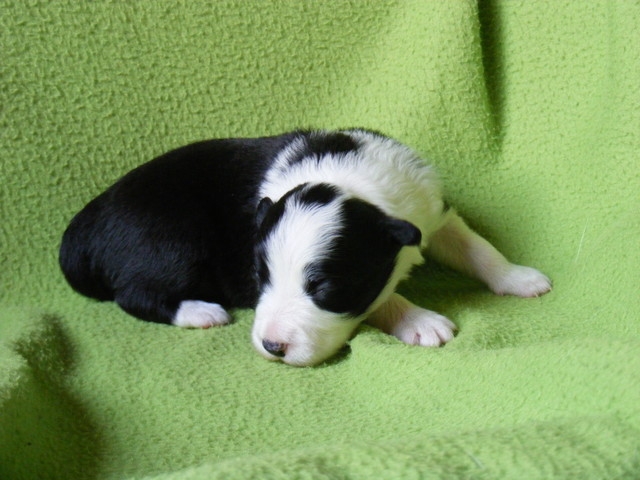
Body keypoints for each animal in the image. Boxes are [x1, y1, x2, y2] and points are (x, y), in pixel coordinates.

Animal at [59, 129, 551, 366]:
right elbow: (383, 297)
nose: (272, 346)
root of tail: (84, 225)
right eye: (260, 277)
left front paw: (518, 277)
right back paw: (201, 311)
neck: (352, 185)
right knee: (134, 294)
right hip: (171, 243)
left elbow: (474, 245)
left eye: (324, 289)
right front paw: (421, 321)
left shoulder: (433, 212)